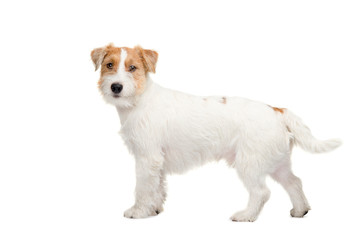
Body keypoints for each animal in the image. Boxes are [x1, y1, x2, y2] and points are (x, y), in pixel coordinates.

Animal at [91, 44, 342, 222]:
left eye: (132, 67)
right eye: (109, 65)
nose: (116, 87)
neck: (139, 100)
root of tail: (277, 110)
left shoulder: (146, 158)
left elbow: (143, 188)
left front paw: (138, 211)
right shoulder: (157, 161)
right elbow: (158, 187)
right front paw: (155, 208)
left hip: (249, 164)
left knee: (262, 192)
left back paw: (245, 215)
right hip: (278, 164)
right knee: (295, 183)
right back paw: (300, 210)